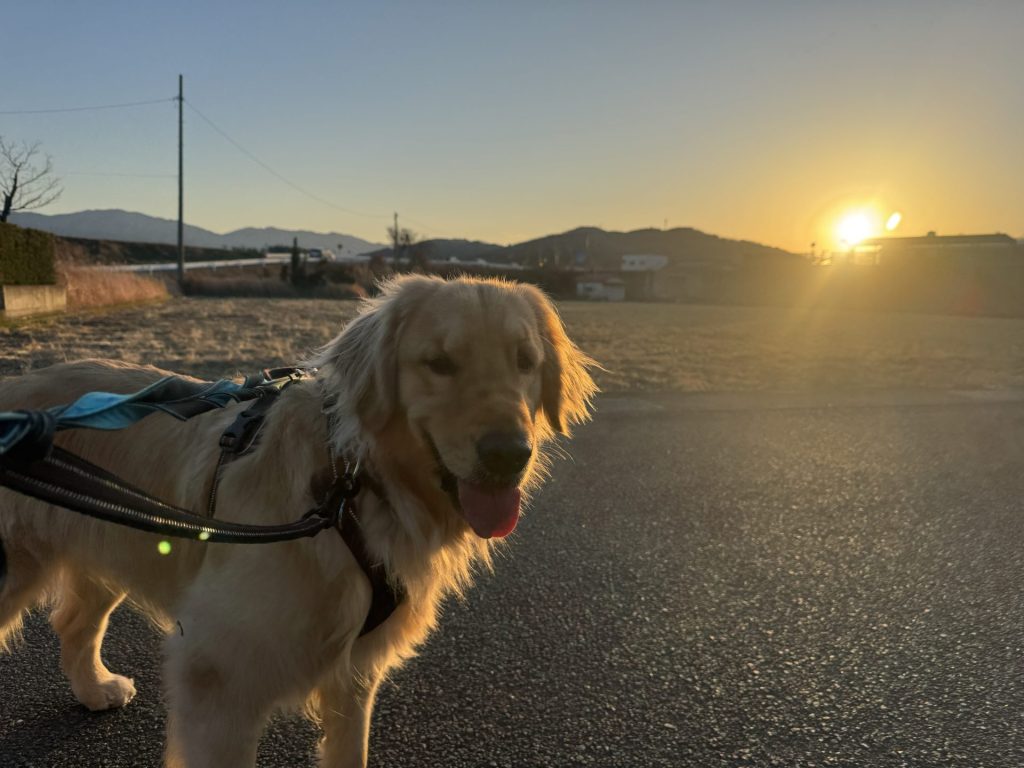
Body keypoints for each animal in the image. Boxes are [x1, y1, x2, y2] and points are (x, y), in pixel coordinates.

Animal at [0, 275, 597, 767]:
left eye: (525, 361)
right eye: (439, 363)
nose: (509, 455)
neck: (348, 486)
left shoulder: (354, 672)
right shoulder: (217, 676)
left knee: (75, 623)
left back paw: (95, 688)